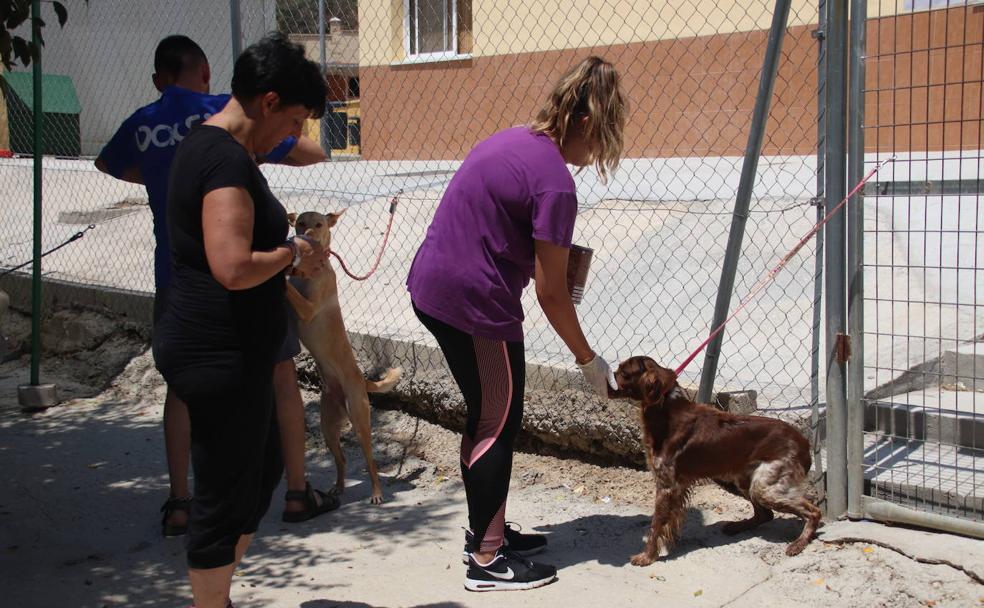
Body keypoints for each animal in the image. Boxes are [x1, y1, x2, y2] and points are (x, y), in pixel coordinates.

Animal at [286, 209, 402, 504]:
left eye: (319, 224)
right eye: (300, 223)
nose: (306, 234)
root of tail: (362, 380)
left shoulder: (308, 308)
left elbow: (290, 292)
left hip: (360, 423)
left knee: (370, 462)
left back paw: (376, 493)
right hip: (328, 428)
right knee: (342, 461)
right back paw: (338, 487)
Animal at [612, 356, 820, 564]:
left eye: (624, 372)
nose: (613, 373)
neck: (666, 409)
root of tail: (804, 442)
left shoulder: (666, 486)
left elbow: (656, 524)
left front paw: (646, 556)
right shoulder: (675, 487)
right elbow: (669, 522)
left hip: (764, 487)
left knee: (814, 511)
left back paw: (798, 543)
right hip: (742, 480)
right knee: (765, 514)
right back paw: (736, 526)